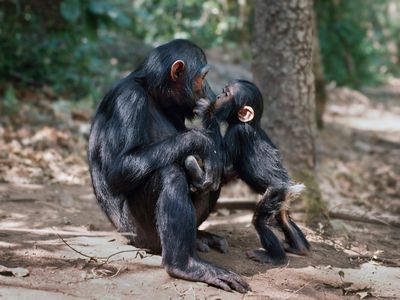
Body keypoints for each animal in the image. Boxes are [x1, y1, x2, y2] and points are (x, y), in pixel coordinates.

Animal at [88, 38, 250, 292]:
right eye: (203, 77)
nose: (211, 92)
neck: (152, 94)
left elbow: (217, 161)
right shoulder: (128, 100)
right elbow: (119, 168)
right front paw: (202, 141)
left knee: (215, 176)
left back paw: (199, 236)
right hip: (139, 233)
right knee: (169, 174)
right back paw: (184, 265)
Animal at [189, 79, 310, 264]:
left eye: (226, 94)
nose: (218, 96)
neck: (248, 123)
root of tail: (290, 187)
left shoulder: (237, 133)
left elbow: (221, 162)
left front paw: (207, 110)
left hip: (275, 192)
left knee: (259, 221)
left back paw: (274, 257)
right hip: (282, 198)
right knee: (282, 218)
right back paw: (299, 247)